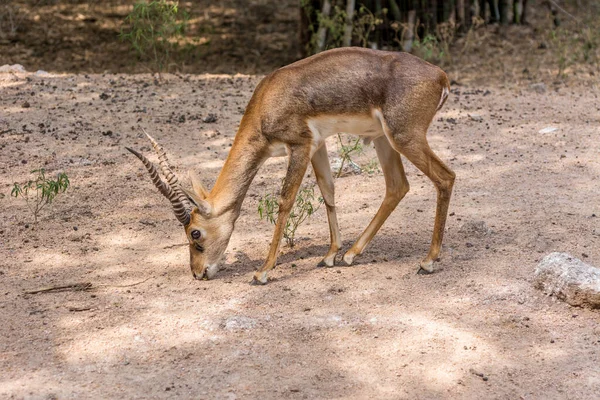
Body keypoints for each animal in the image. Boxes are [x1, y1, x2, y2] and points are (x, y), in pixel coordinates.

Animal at [126, 47, 454, 284]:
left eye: (195, 233)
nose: (198, 273)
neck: (268, 100)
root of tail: (441, 77)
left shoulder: (299, 145)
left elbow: (285, 201)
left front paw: (262, 272)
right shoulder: (317, 145)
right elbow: (327, 190)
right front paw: (330, 255)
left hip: (404, 137)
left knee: (445, 177)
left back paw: (428, 262)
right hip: (384, 139)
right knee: (397, 186)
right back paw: (351, 254)